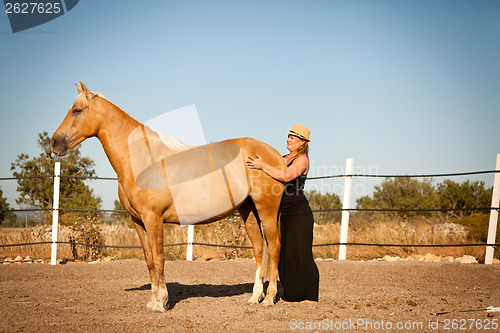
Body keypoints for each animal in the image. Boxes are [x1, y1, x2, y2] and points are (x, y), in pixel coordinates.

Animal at [51, 81, 286, 312]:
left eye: (77, 110)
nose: (54, 142)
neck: (142, 159)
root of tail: (276, 156)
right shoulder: (138, 221)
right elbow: (149, 260)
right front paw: (152, 301)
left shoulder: (153, 219)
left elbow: (159, 259)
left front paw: (160, 302)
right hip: (249, 211)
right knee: (259, 249)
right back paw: (255, 297)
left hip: (267, 210)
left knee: (274, 247)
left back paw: (269, 298)